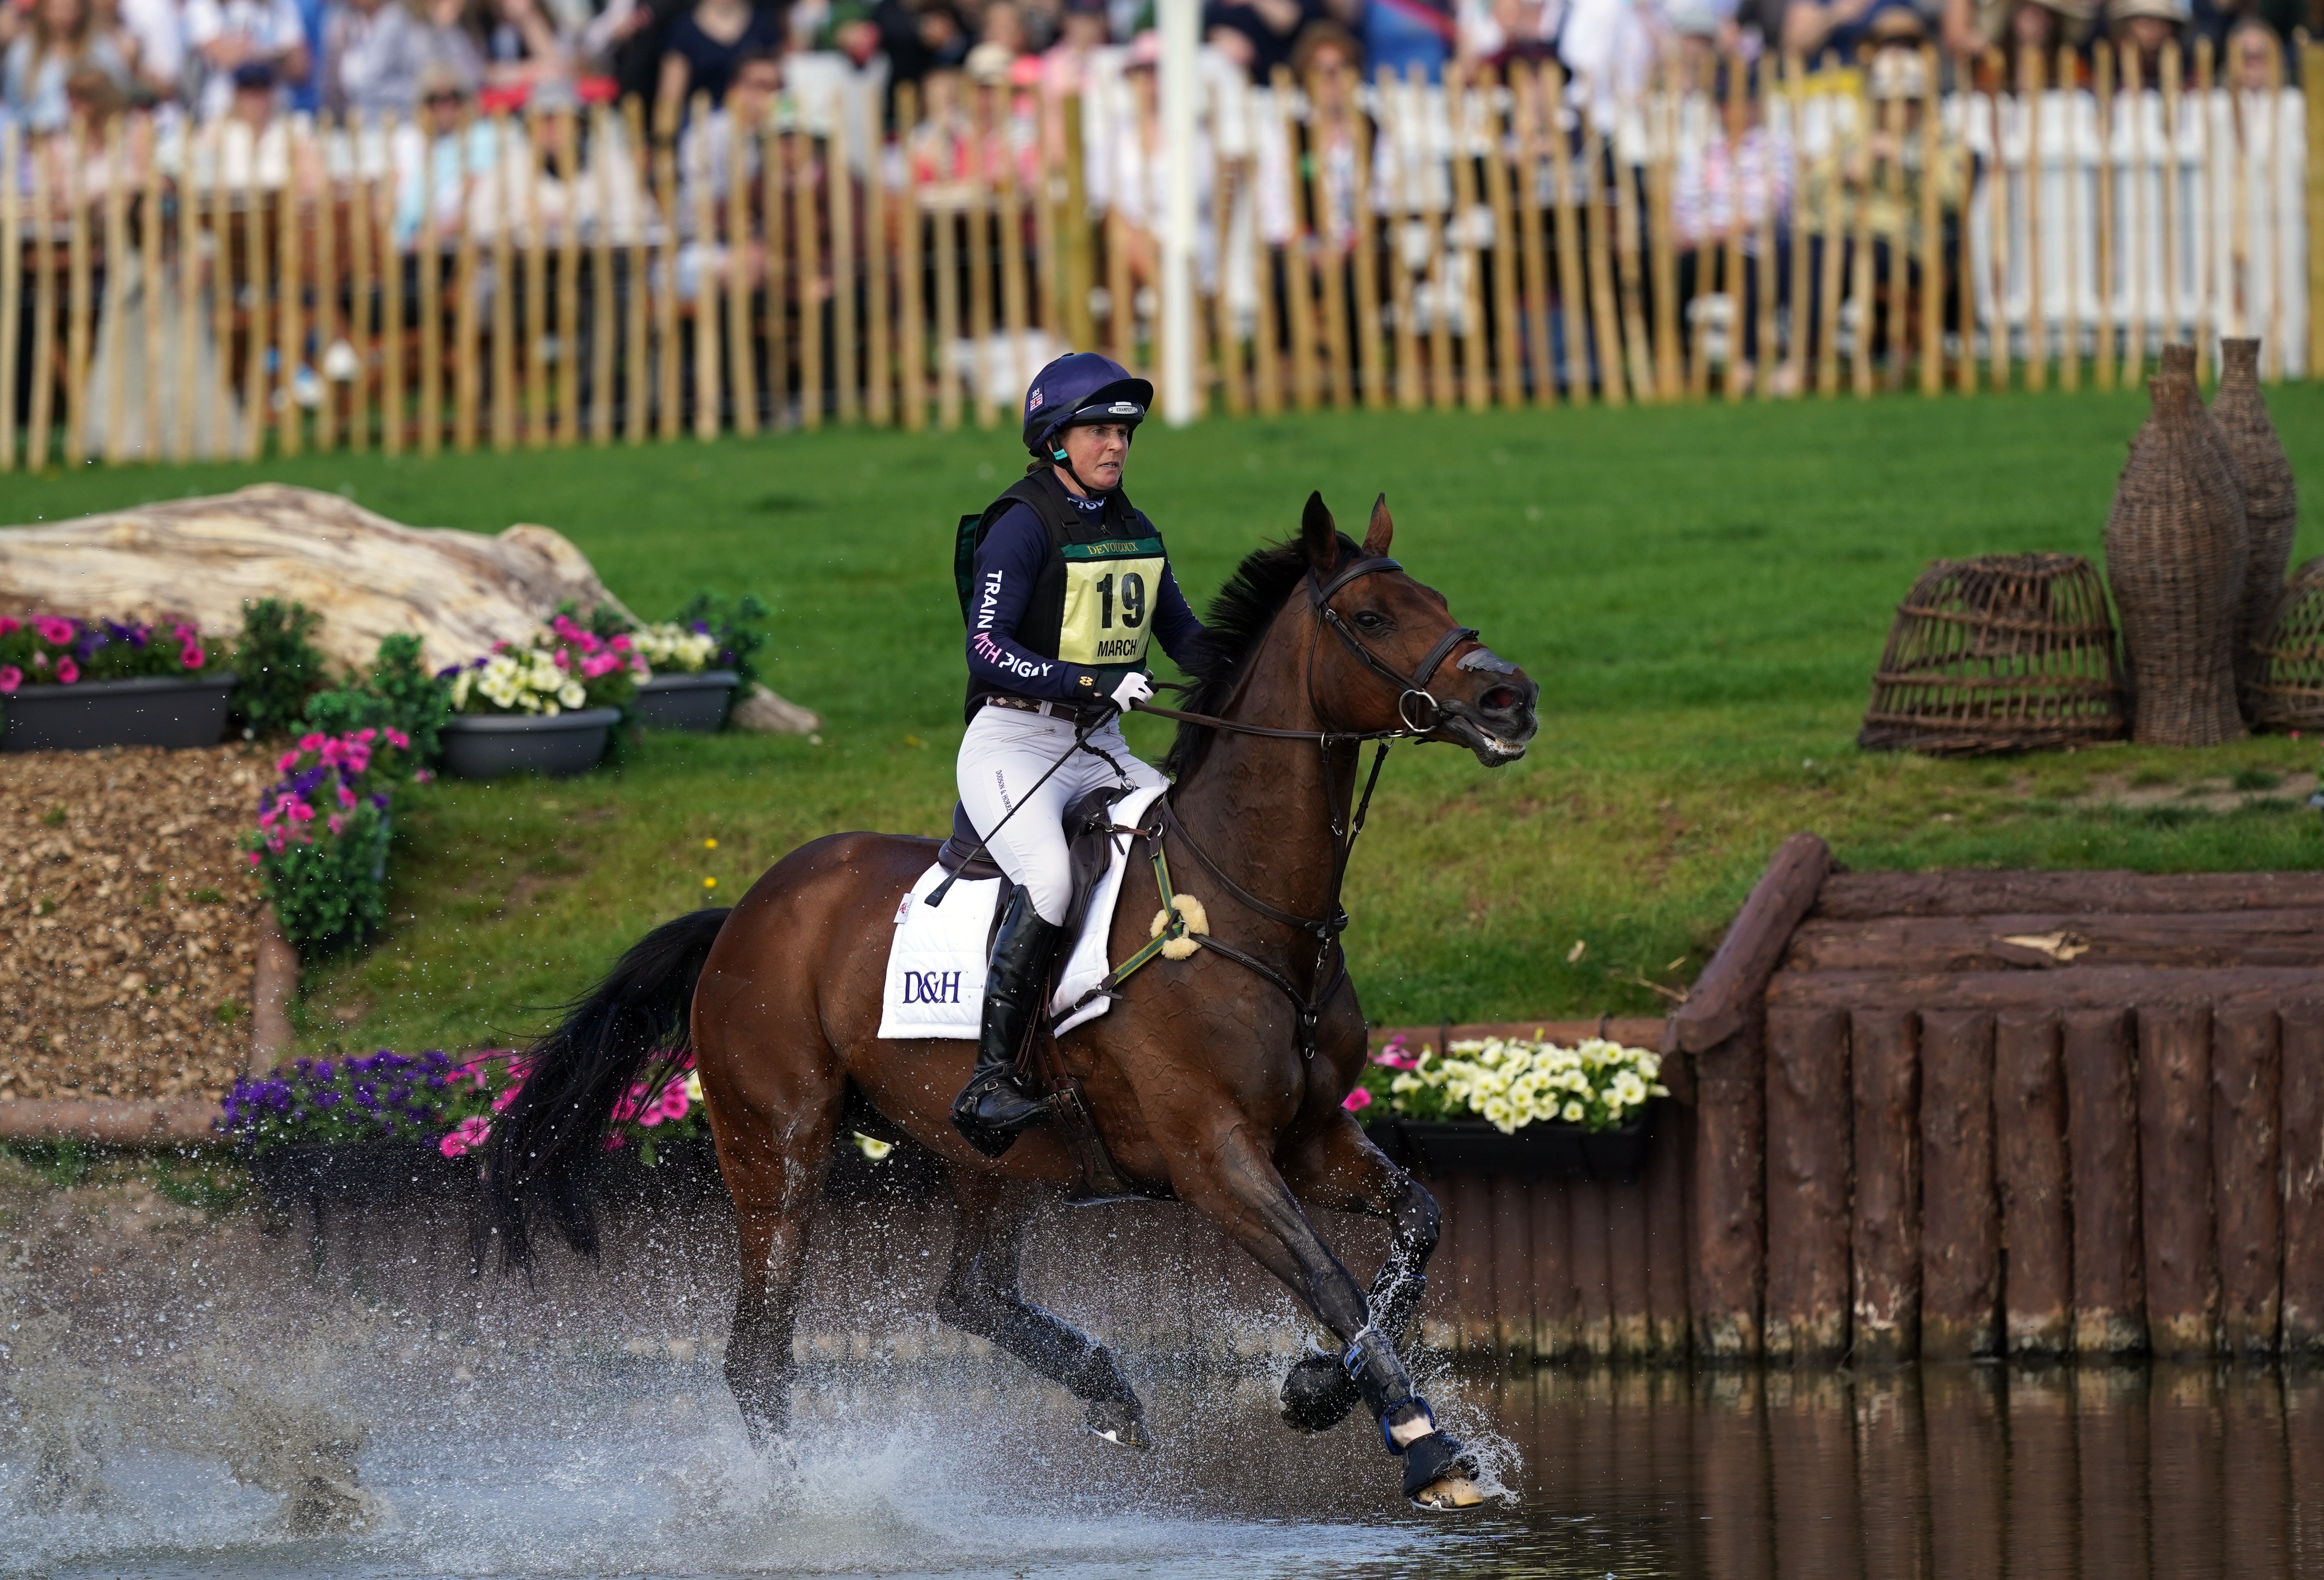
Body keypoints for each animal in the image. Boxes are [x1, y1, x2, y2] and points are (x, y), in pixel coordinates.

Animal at [486, 492, 1543, 1505]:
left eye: (1439, 599)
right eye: (1371, 616)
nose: (1511, 697)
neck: (1250, 903)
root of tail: (745, 910)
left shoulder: (1311, 1137)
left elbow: (1412, 1235)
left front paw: (1318, 1386)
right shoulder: (1215, 1155)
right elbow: (1329, 1277)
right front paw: (1429, 1447)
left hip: (990, 1158)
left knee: (968, 1293)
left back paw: (1105, 1387)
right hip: (777, 1144)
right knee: (759, 1354)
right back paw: (800, 1508)